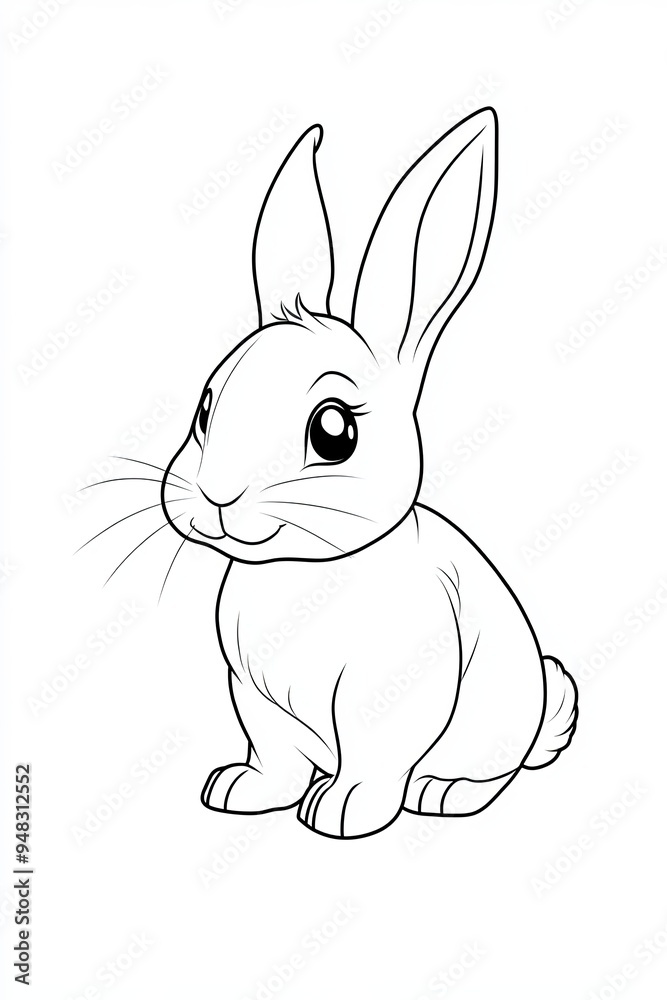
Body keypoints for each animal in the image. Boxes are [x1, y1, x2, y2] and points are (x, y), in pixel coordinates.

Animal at [162, 108, 578, 839]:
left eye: (333, 432)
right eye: (206, 408)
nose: (215, 496)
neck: (302, 572)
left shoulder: (385, 699)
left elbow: (373, 757)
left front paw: (341, 812)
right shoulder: (256, 700)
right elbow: (272, 755)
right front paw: (240, 791)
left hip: (495, 719)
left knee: (489, 774)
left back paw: (442, 792)